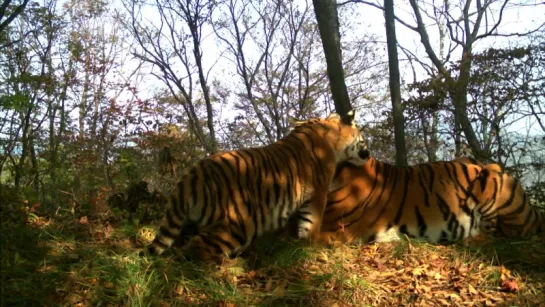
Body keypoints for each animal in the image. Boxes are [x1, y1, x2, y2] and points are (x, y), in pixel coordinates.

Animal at [146, 110, 370, 262]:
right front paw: (312, 245)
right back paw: (229, 267)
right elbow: (312, 222)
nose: (368, 154)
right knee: (197, 248)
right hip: (239, 223)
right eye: (364, 139)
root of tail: (191, 177)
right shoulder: (318, 193)